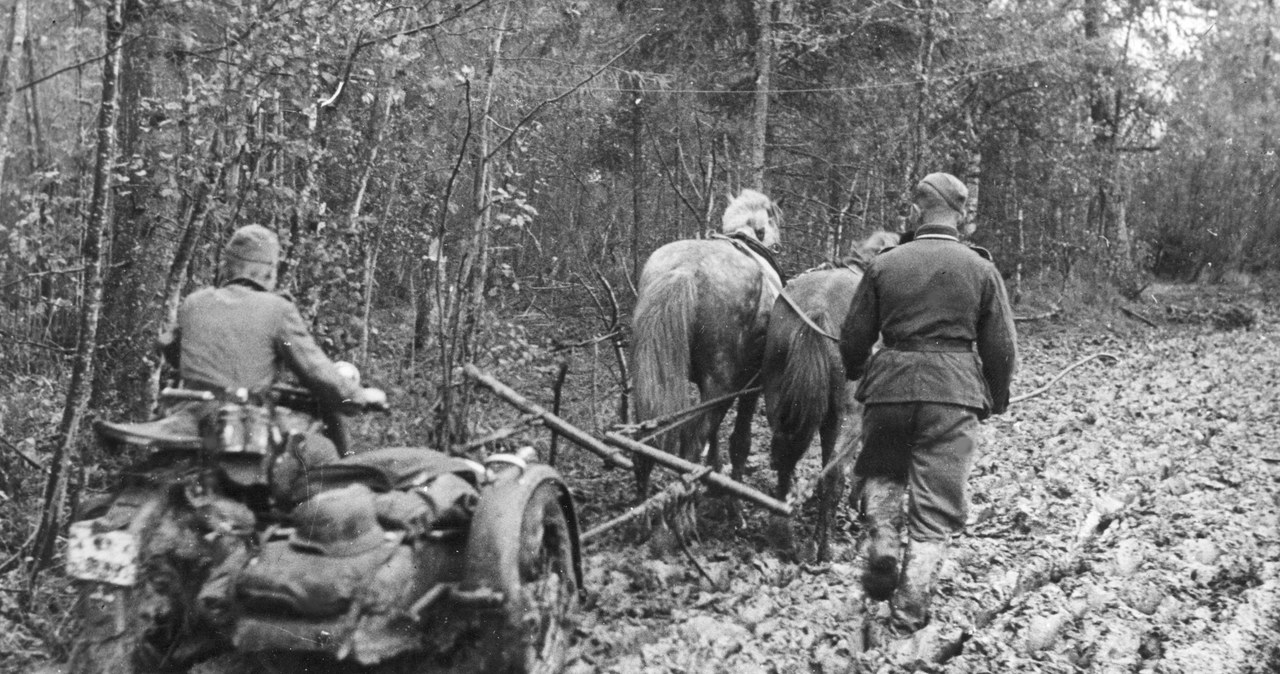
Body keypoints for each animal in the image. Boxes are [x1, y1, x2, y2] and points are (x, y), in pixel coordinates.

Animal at [627, 186, 778, 498]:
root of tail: (686, 269)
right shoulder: (752, 384)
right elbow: (739, 440)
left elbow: (715, 436)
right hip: (722, 382)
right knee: (691, 446)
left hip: (651, 378)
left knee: (646, 442)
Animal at [768, 228, 901, 562]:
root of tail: (819, 308)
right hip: (846, 416)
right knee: (834, 475)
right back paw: (824, 546)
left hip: (776, 400)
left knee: (785, 458)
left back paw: (783, 534)